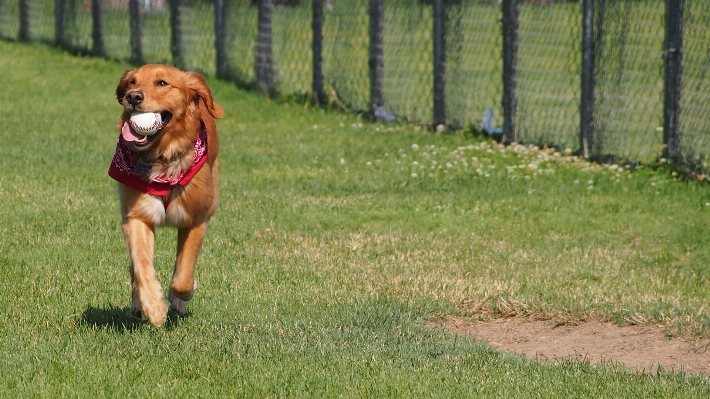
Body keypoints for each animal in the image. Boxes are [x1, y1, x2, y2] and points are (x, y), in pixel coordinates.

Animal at [109, 65, 222, 328]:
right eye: (132, 82)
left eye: (162, 83)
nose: (133, 97)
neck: (162, 159)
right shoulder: (137, 216)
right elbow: (141, 265)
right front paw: (153, 306)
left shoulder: (196, 220)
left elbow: (182, 278)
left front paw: (181, 296)